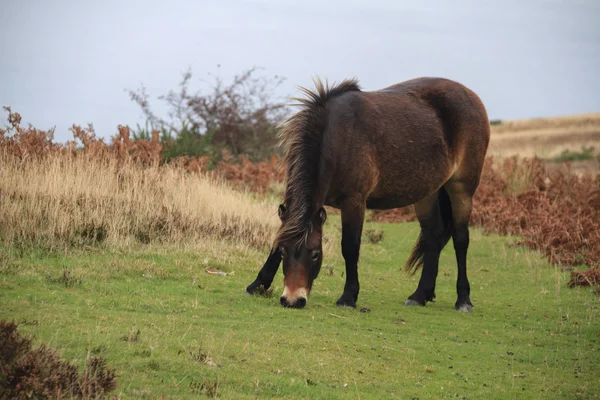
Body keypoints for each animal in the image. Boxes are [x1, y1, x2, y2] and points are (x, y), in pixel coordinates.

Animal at [246, 76, 490, 310]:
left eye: (315, 253)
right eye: (284, 252)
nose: (292, 300)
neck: (337, 138)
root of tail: (472, 97)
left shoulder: (354, 202)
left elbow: (350, 247)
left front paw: (348, 297)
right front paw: (258, 284)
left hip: (462, 188)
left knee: (461, 239)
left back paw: (463, 300)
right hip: (427, 192)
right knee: (433, 236)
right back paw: (420, 295)